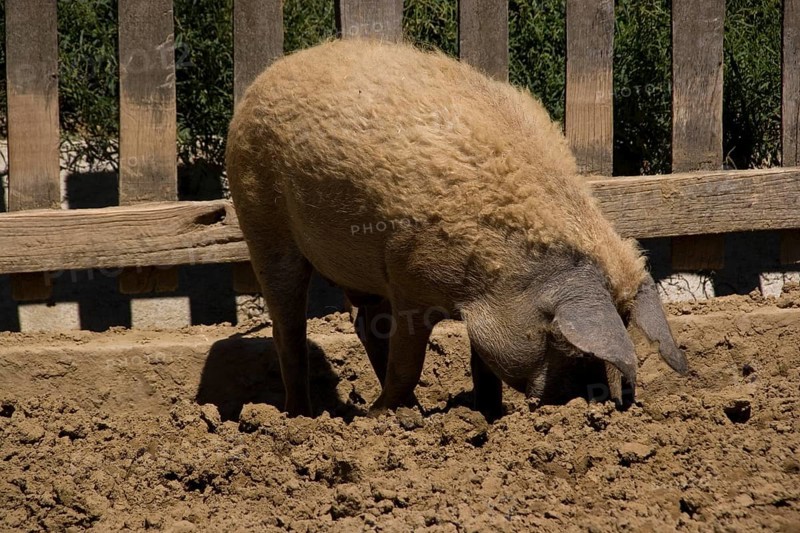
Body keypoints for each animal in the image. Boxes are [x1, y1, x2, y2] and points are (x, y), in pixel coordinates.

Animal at [225, 39, 688, 419]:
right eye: (563, 341)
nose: (593, 400)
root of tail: (264, 79)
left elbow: (481, 363)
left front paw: (488, 413)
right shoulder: (409, 279)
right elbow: (408, 362)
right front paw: (380, 416)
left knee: (363, 323)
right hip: (261, 221)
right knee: (288, 326)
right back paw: (303, 415)